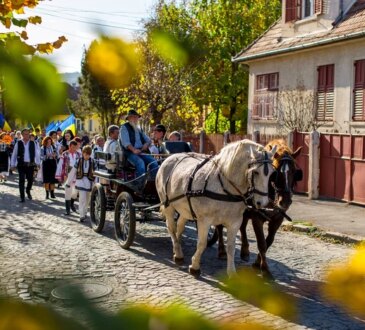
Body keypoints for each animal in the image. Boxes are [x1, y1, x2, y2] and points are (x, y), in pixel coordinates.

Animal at [154, 139, 276, 276]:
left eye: (272, 173)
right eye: (255, 172)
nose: (262, 203)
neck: (225, 187)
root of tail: (169, 158)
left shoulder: (235, 222)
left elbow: (231, 248)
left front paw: (232, 273)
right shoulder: (204, 220)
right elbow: (202, 243)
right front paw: (195, 266)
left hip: (185, 209)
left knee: (179, 226)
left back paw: (177, 248)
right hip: (167, 204)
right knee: (171, 227)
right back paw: (178, 252)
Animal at [213, 139, 302, 278]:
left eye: (294, 171)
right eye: (276, 173)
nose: (285, 201)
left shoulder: (278, 219)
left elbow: (268, 241)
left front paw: (257, 262)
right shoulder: (257, 218)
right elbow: (261, 243)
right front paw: (264, 268)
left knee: (242, 226)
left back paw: (244, 250)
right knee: (220, 226)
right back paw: (222, 250)